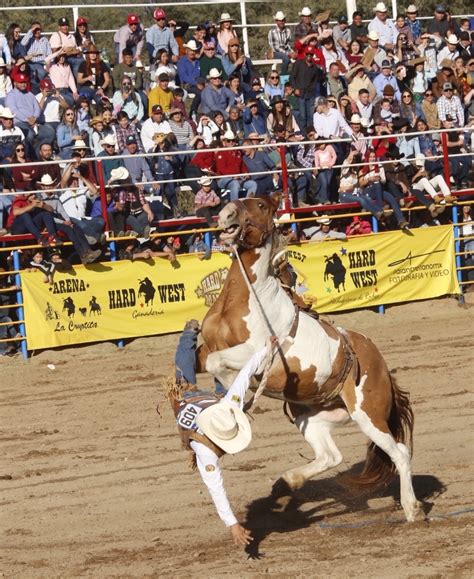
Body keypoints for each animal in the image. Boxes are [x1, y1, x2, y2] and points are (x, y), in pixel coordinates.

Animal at [194, 195, 420, 524]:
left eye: (261, 205)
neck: (244, 299)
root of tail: (380, 364)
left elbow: (219, 364)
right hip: (310, 417)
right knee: (330, 455)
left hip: (369, 416)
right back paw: (289, 480)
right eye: (235, 198)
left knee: (400, 452)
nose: (227, 212)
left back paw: (411, 507)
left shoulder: (260, 356)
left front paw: (233, 401)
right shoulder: (206, 347)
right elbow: (200, 359)